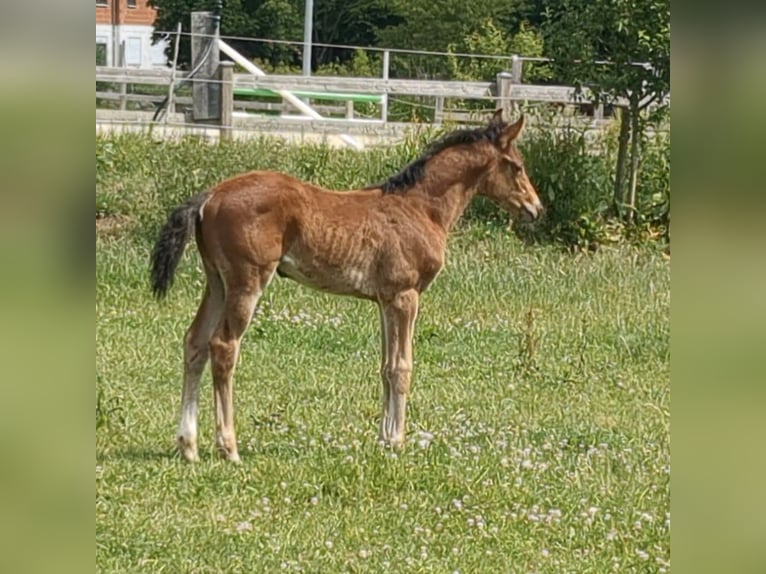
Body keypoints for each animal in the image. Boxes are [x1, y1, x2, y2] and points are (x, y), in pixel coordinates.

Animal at [150, 110, 543, 462]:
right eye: (516, 165)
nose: (535, 209)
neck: (421, 208)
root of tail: (210, 195)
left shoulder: (386, 300)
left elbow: (386, 367)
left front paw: (384, 440)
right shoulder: (406, 297)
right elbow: (403, 367)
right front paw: (398, 443)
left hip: (217, 282)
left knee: (195, 343)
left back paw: (188, 447)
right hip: (247, 281)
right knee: (223, 346)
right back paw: (229, 449)